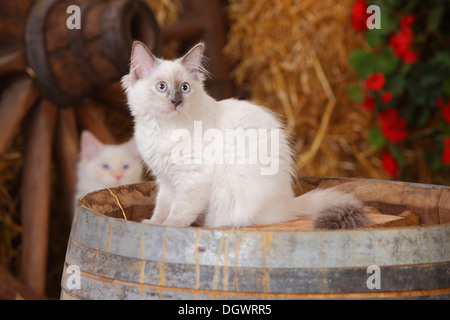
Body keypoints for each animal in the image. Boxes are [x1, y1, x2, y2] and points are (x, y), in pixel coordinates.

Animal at [122, 41, 370, 229]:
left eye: (184, 88)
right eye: (162, 87)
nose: (176, 102)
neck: (163, 128)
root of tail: (287, 203)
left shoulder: (192, 180)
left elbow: (178, 212)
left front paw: (167, 228)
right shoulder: (165, 180)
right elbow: (161, 208)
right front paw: (152, 224)